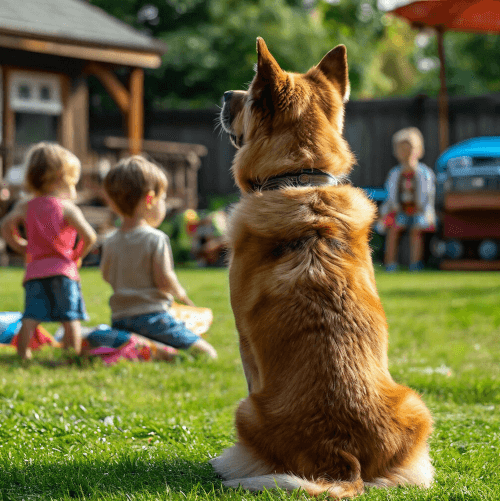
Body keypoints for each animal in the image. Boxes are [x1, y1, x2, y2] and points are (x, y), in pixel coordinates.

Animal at [212, 38, 434, 496]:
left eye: (250, 95)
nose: (224, 95)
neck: (299, 178)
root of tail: (341, 457)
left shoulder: (245, 346)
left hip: (246, 410)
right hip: (416, 404)